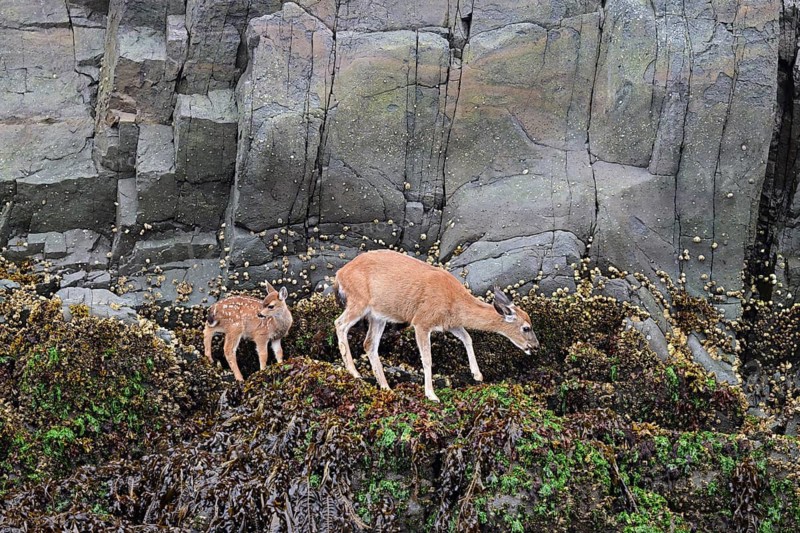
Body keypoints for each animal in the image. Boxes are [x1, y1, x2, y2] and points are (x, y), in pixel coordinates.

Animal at [333, 249, 539, 402]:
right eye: (526, 327)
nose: (536, 346)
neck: (454, 300)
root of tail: (339, 274)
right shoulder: (422, 321)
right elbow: (427, 358)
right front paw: (431, 395)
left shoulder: (450, 323)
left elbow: (468, 337)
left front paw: (477, 375)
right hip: (359, 300)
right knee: (340, 324)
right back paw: (355, 373)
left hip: (378, 316)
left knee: (369, 344)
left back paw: (386, 387)